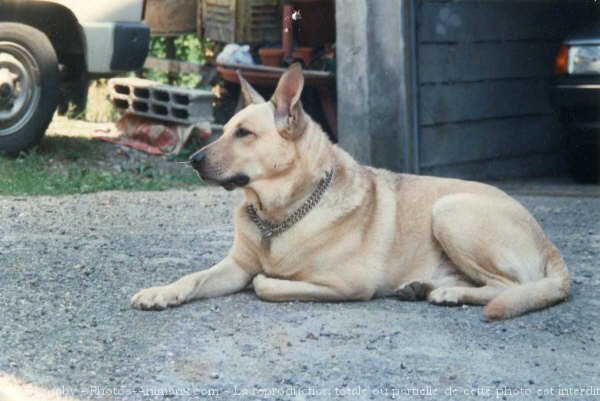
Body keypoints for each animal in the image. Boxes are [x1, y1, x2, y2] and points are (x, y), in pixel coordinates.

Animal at [131, 64, 572, 320]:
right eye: (224, 130)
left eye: (244, 134)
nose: (193, 160)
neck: (280, 214)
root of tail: (548, 242)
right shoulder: (234, 265)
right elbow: (193, 277)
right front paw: (161, 292)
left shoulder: (347, 284)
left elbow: (265, 283)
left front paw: (270, 279)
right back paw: (425, 287)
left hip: (450, 211)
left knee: (510, 288)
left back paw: (446, 293)